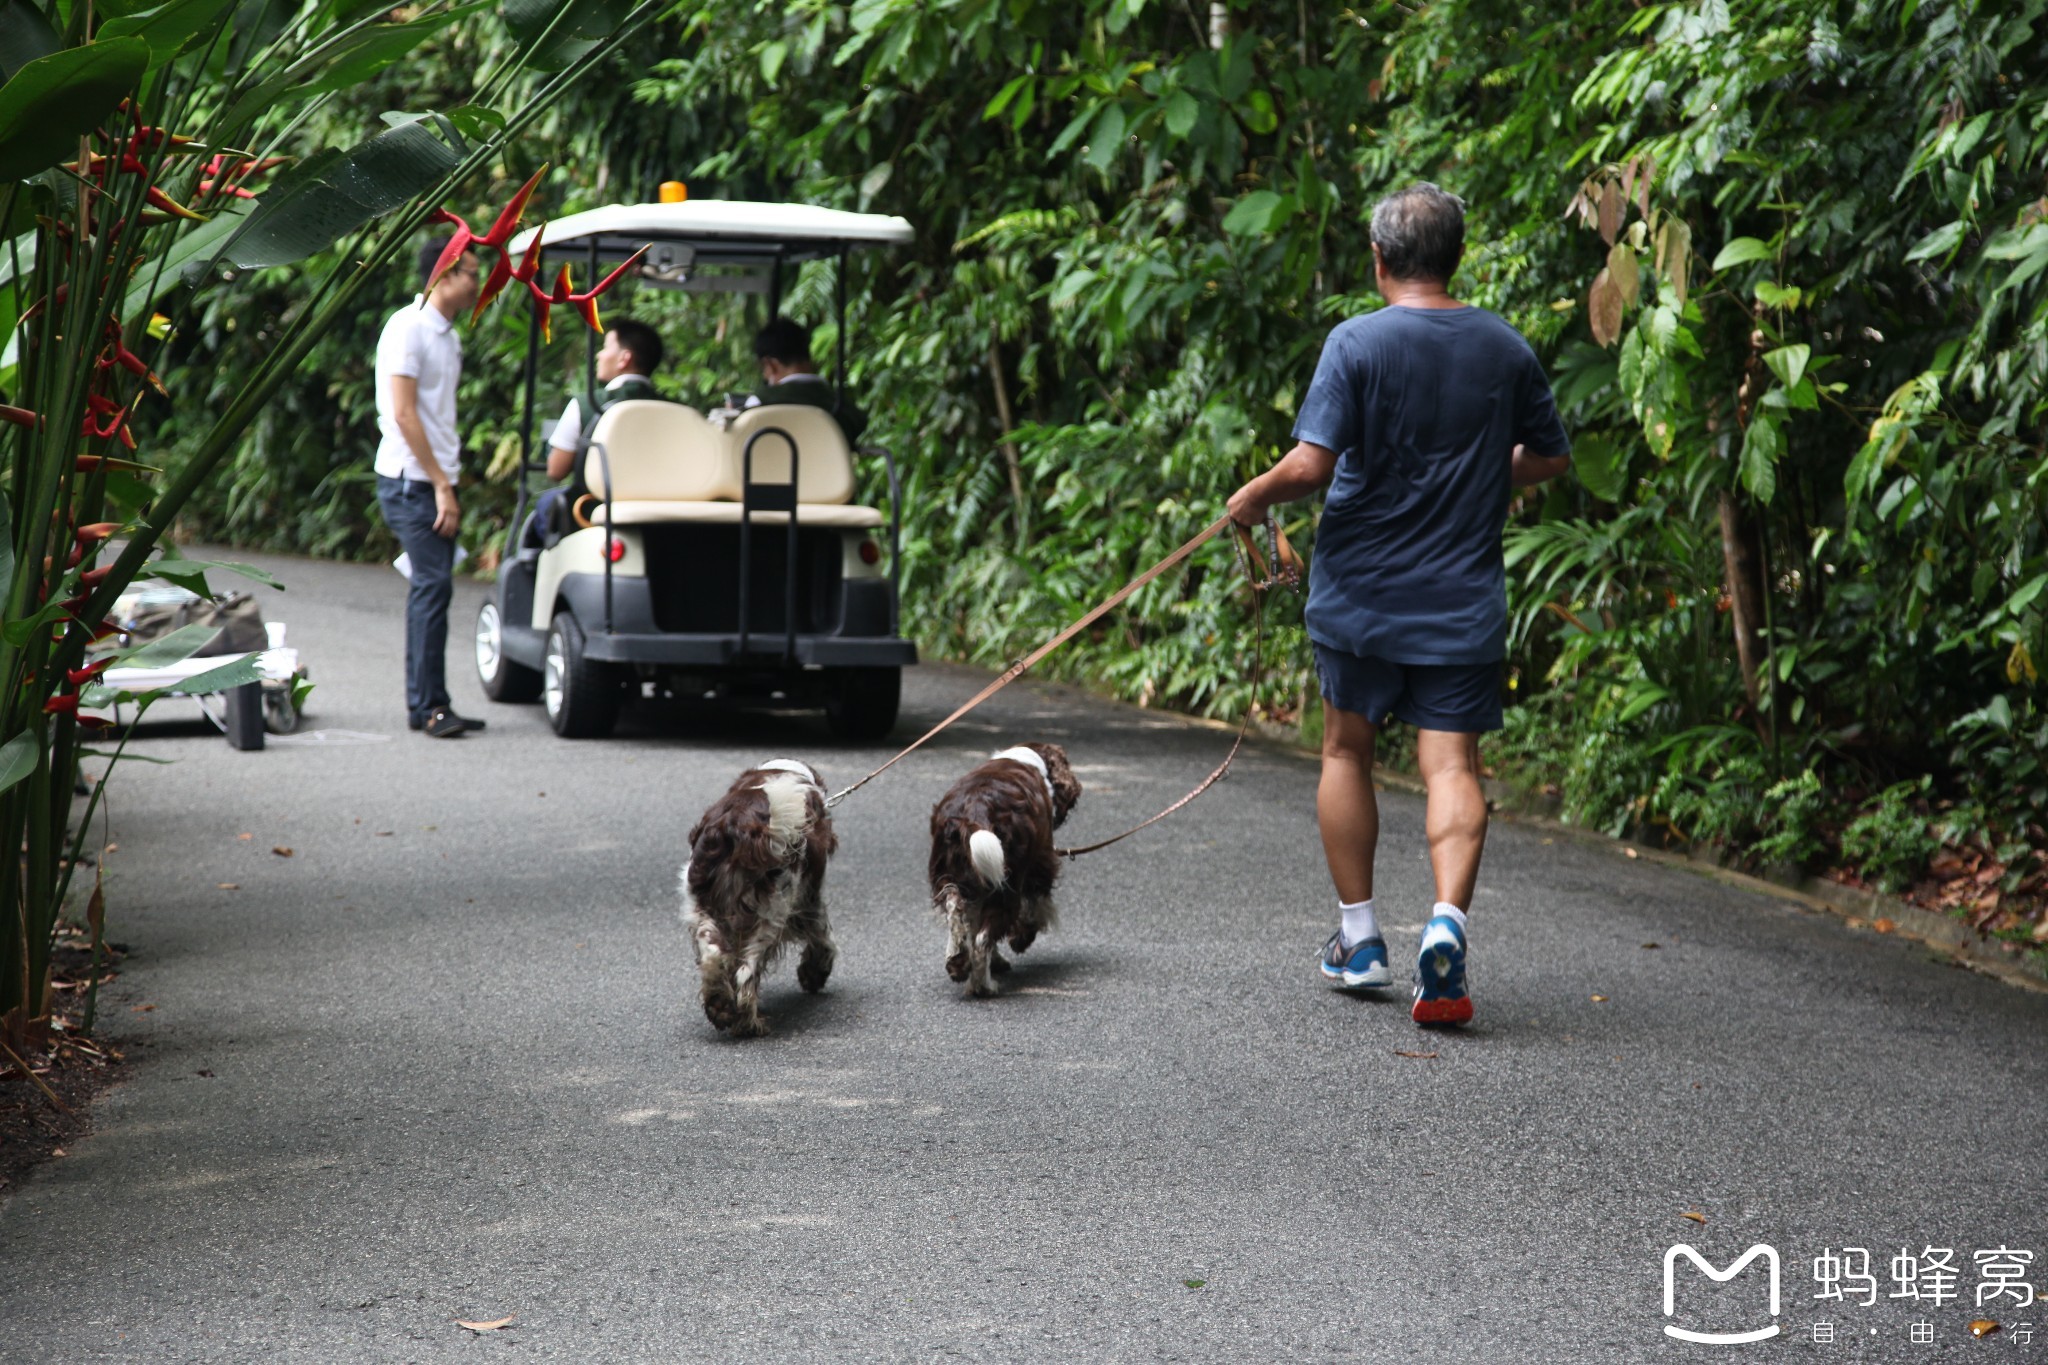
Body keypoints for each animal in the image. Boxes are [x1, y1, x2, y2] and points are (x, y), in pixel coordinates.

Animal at [671, 757, 831, 1035]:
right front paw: (816, 971)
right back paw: (747, 1021)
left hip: (699, 903)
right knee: (747, 972)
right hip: (772, 912)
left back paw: (720, 1006)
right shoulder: (809, 898)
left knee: (713, 954)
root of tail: (741, 825)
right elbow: (823, 936)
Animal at [933, 740, 1089, 998]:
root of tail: (975, 811)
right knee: (983, 939)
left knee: (956, 910)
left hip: (954, 876)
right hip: (1006, 884)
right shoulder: (1040, 865)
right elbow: (1034, 910)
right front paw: (1021, 939)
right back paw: (983, 986)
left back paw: (958, 963)